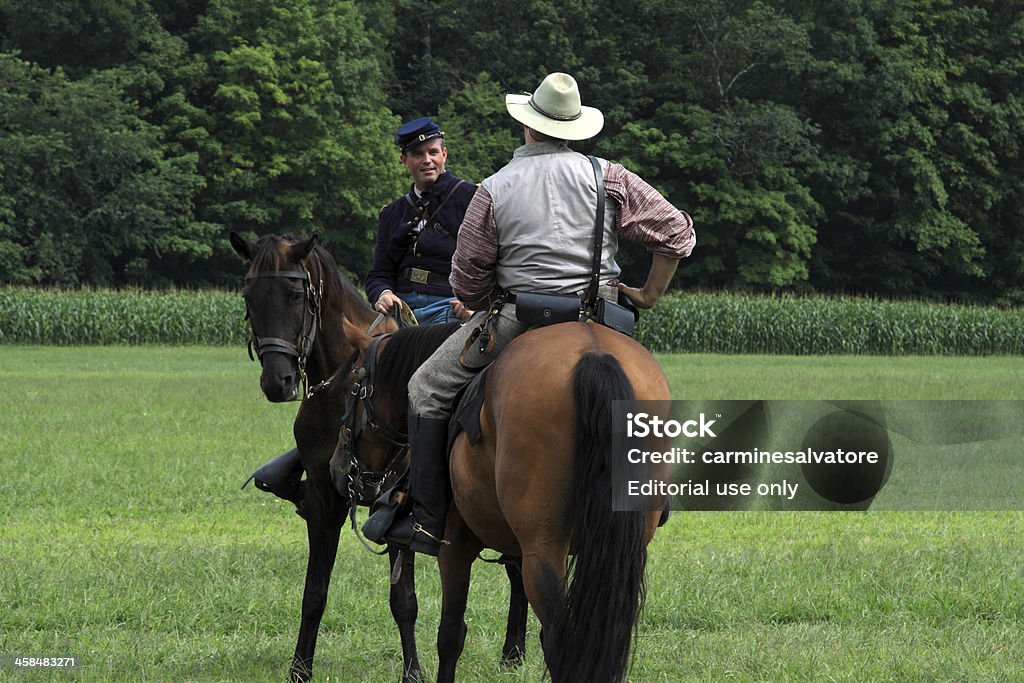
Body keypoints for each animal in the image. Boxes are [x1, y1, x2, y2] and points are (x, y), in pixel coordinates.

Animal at [227, 232, 524, 679]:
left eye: (295, 295)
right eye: (249, 296)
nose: (277, 382)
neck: (346, 385)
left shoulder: (400, 506)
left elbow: (404, 601)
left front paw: (413, 672)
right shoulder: (324, 501)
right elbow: (314, 592)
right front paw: (300, 669)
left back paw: (514, 652)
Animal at [337, 317, 671, 679]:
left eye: (351, 387)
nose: (338, 469)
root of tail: (593, 352)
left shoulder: (454, 547)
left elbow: (450, 634)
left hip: (543, 552)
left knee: (560, 641)